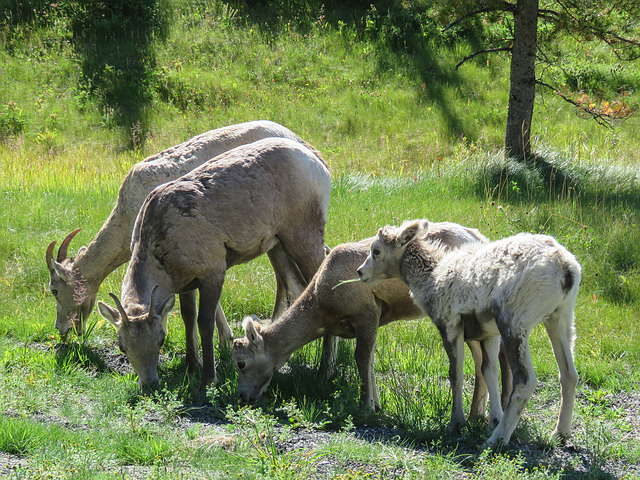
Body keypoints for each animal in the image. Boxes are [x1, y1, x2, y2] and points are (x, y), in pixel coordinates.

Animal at [99, 137, 336, 388]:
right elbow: (188, 318)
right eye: (122, 346)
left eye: (160, 340)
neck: (158, 246)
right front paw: (192, 368)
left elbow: (205, 322)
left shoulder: (213, 271)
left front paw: (209, 377)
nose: (150, 384)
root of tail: (317, 162)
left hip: (302, 234)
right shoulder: (186, 284)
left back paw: (326, 369)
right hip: (279, 243)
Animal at [232, 220, 512, 412]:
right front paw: (376, 403)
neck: (322, 307)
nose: (242, 397)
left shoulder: (366, 312)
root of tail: (479, 237)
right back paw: (478, 414)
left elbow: (362, 358)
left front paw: (367, 406)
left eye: (241, 363)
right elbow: (371, 362)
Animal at [358, 220, 584, 446]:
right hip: (560, 316)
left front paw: (456, 423)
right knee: (569, 374)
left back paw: (497, 440)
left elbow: (455, 372)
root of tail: (565, 268)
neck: (430, 276)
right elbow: (488, 371)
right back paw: (560, 433)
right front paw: (494, 419)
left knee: (525, 381)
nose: (360, 272)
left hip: (514, 320)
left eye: (376, 251)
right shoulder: (489, 334)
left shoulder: (450, 324)